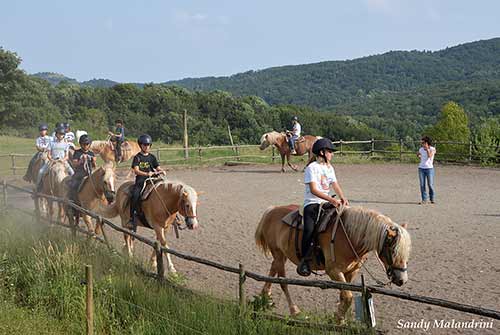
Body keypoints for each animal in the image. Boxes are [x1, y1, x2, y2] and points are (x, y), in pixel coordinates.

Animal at [256, 205, 412, 322]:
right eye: (393, 250)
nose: (402, 279)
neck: (349, 236)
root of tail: (271, 210)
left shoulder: (351, 272)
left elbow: (344, 296)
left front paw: (340, 319)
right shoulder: (334, 271)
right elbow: (348, 297)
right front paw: (338, 319)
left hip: (281, 255)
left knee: (272, 270)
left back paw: (266, 296)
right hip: (278, 254)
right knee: (283, 282)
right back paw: (294, 311)